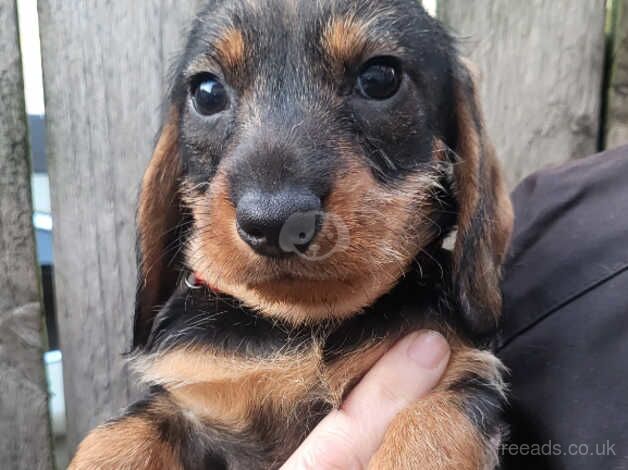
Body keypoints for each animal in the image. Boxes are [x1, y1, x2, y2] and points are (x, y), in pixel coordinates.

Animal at [70, 1, 510, 468]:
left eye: (380, 78)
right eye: (206, 92)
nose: (274, 221)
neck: (298, 327)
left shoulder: (459, 375)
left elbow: (428, 430)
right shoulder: (187, 396)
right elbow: (116, 434)